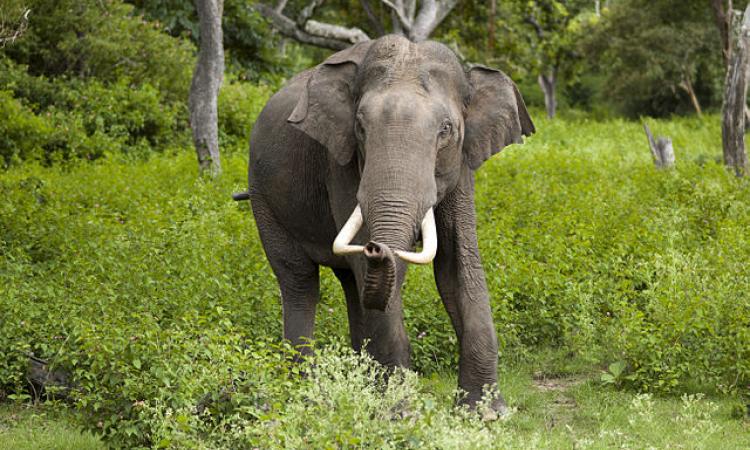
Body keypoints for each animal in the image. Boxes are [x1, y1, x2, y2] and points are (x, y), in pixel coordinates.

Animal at [235, 34, 536, 414]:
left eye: (446, 130)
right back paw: (306, 392)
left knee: (351, 285)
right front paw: (399, 412)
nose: (377, 247)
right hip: (263, 197)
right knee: (300, 281)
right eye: (360, 127)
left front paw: (486, 414)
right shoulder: (341, 162)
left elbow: (457, 264)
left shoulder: (463, 164)